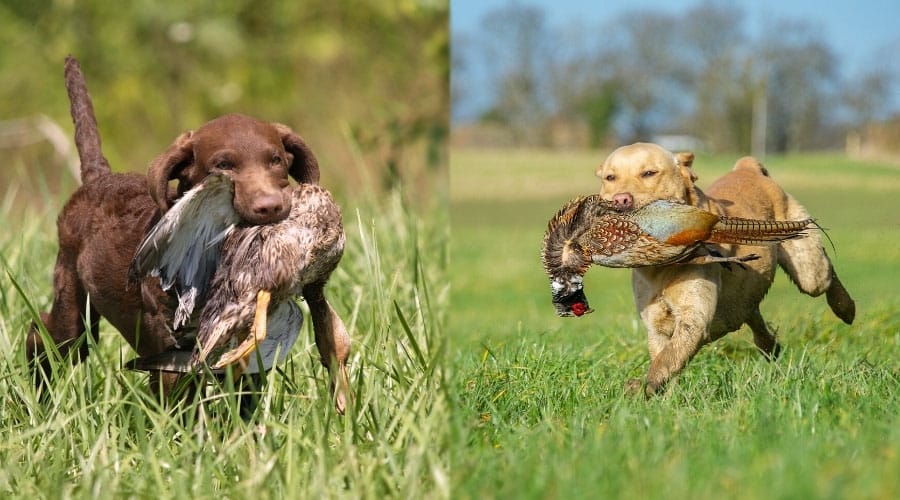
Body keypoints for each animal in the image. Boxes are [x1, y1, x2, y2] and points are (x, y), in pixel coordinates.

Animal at [27, 56, 320, 396]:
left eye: (276, 161)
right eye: (223, 165)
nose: (270, 207)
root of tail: (98, 179)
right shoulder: (171, 354)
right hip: (71, 298)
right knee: (46, 336)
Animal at [596, 143, 856, 396]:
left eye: (649, 173)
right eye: (610, 177)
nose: (621, 199)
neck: (661, 268)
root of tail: (746, 167)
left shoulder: (694, 319)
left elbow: (667, 358)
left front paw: (642, 387)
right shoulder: (656, 326)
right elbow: (667, 358)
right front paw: (664, 396)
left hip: (809, 269)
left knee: (825, 272)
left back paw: (846, 308)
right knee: (751, 310)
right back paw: (769, 344)